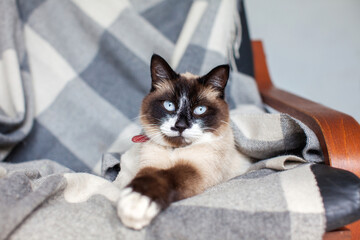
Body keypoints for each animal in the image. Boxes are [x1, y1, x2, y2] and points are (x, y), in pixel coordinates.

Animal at [115, 54, 250, 229]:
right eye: (169, 105)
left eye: (200, 110)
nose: (180, 126)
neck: (175, 149)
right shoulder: (151, 164)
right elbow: (149, 176)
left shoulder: (197, 168)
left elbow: (168, 175)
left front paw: (136, 203)